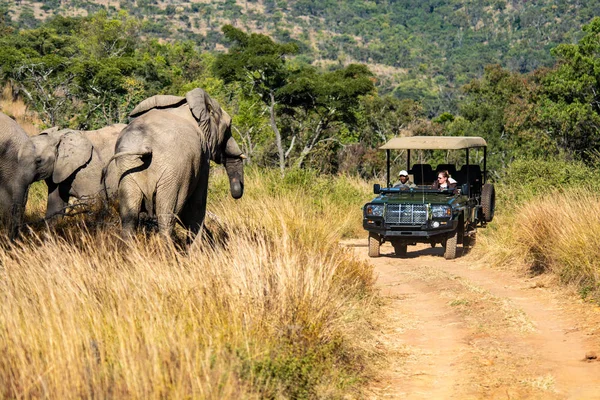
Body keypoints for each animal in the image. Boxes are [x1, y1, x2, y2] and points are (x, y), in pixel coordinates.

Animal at [106, 88, 244, 242]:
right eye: (229, 127)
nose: (236, 193)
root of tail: (145, 146)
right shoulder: (202, 158)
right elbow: (196, 203)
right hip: (174, 173)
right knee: (167, 215)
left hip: (128, 169)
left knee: (130, 217)